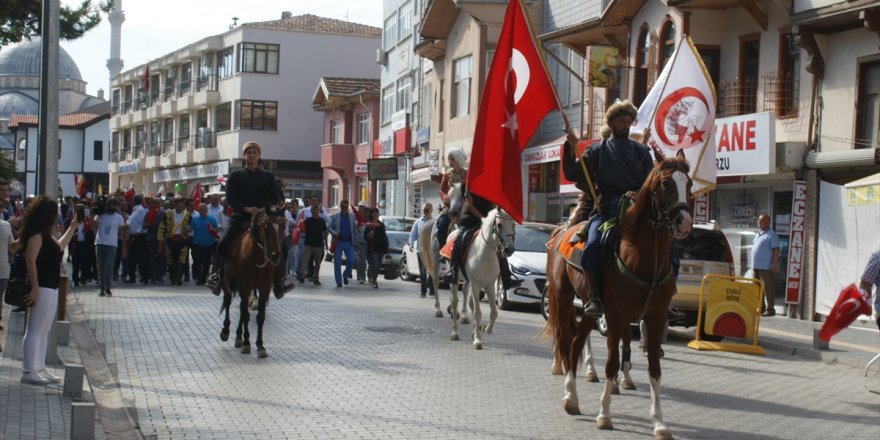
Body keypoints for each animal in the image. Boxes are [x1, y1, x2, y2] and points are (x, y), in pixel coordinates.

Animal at [219, 209, 286, 358]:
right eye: (267, 227)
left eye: (283, 226)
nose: (275, 256)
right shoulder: (246, 285)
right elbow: (246, 315)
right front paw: (247, 343)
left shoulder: (264, 287)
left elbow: (260, 316)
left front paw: (260, 346)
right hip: (228, 281)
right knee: (228, 302)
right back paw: (226, 331)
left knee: (241, 308)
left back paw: (238, 336)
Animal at [450, 208, 520, 348]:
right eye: (499, 225)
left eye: (513, 225)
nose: (509, 249)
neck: (484, 253)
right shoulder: (476, 285)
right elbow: (477, 312)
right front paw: (477, 340)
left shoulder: (489, 285)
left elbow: (494, 312)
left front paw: (486, 329)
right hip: (456, 280)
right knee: (455, 303)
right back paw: (455, 333)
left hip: (469, 283)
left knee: (470, 302)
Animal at [544, 152, 696, 440]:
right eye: (665, 184)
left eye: (689, 184)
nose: (684, 222)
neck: (643, 258)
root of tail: (562, 232)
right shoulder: (615, 316)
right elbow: (612, 363)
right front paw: (604, 415)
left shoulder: (655, 318)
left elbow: (654, 370)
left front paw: (659, 423)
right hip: (564, 298)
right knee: (566, 342)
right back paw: (570, 396)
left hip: (590, 309)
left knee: (576, 343)